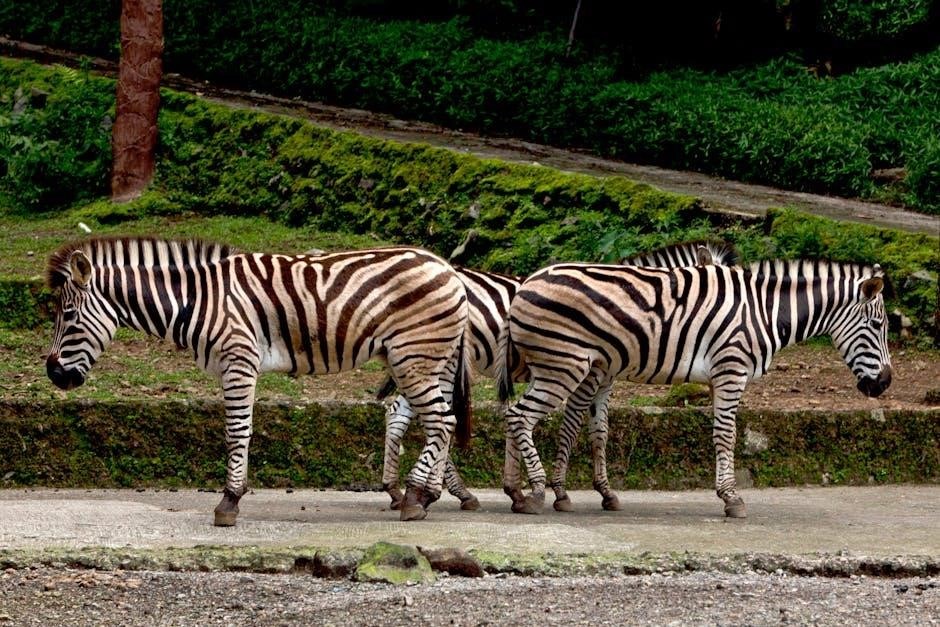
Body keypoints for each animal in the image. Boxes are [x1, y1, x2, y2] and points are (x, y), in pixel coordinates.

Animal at [45, 237, 472, 524]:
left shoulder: (239, 360)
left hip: (414, 356)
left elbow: (237, 431)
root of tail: (447, 268)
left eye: (68, 316)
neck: (198, 301)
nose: (52, 373)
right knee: (444, 421)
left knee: (441, 421)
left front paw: (229, 502)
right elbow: (239, 429)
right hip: (429, 359)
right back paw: (426, 495)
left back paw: (414, 499)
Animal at [379, 240, 739, 511]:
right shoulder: (591, 376)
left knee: (402, 413)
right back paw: (446, 492)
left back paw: (402, 491)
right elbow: (572, 426)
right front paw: (561, 491)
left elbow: (600, 431)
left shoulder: (604, 380)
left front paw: (603, 491)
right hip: (444, 363)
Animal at [496, 258, 892, 517]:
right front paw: (732, 499)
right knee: (520, 416)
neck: (764, 312)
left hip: (554, 365)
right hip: (565, 365)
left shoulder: (720, 375)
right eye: (877, 326)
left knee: (513, 414)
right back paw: (536, 493)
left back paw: (519, 493)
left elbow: (720, 434)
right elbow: (726, 435)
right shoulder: (731, 369)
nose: (885, 383)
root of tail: (526, 285)